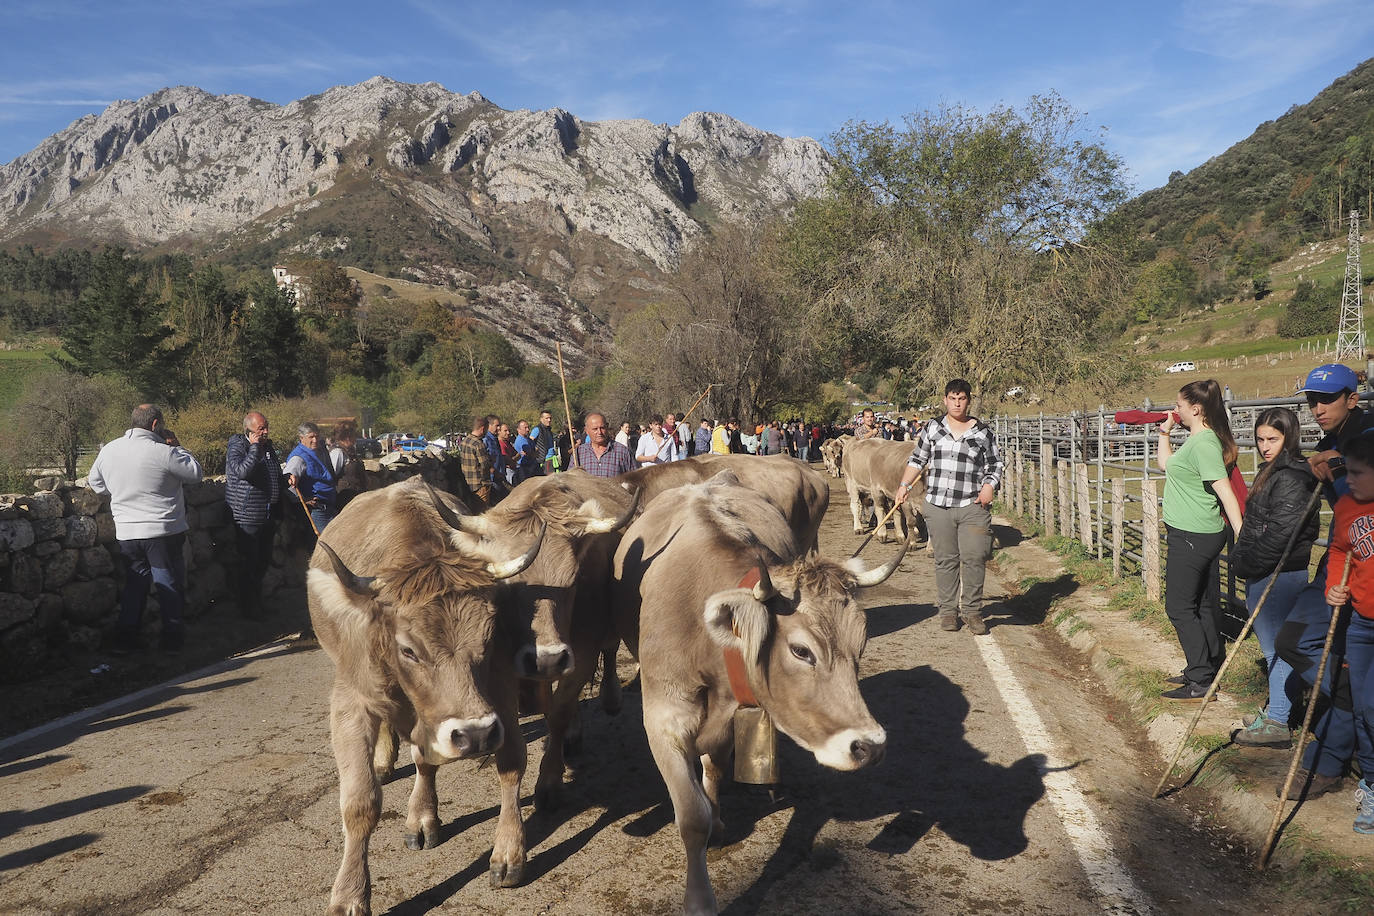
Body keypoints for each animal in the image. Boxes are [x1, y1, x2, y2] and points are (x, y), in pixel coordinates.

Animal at [309, 480, 544, 916]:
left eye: (487, 637)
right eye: (409, 650)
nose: (475, 735)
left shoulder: (498, 688)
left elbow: (510, 764)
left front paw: (509, 851)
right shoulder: (351, 700)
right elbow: (360, 802)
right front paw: (349, 895)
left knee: (425, 759)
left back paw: (421, 817)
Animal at [612, 472, 901, 916]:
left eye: (862, 643)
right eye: (801, 651)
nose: (871, 746)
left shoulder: (729, 715)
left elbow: (714, 769)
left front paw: (717, 819)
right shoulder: (662, 721)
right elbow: (691, 816)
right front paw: (699, 899)